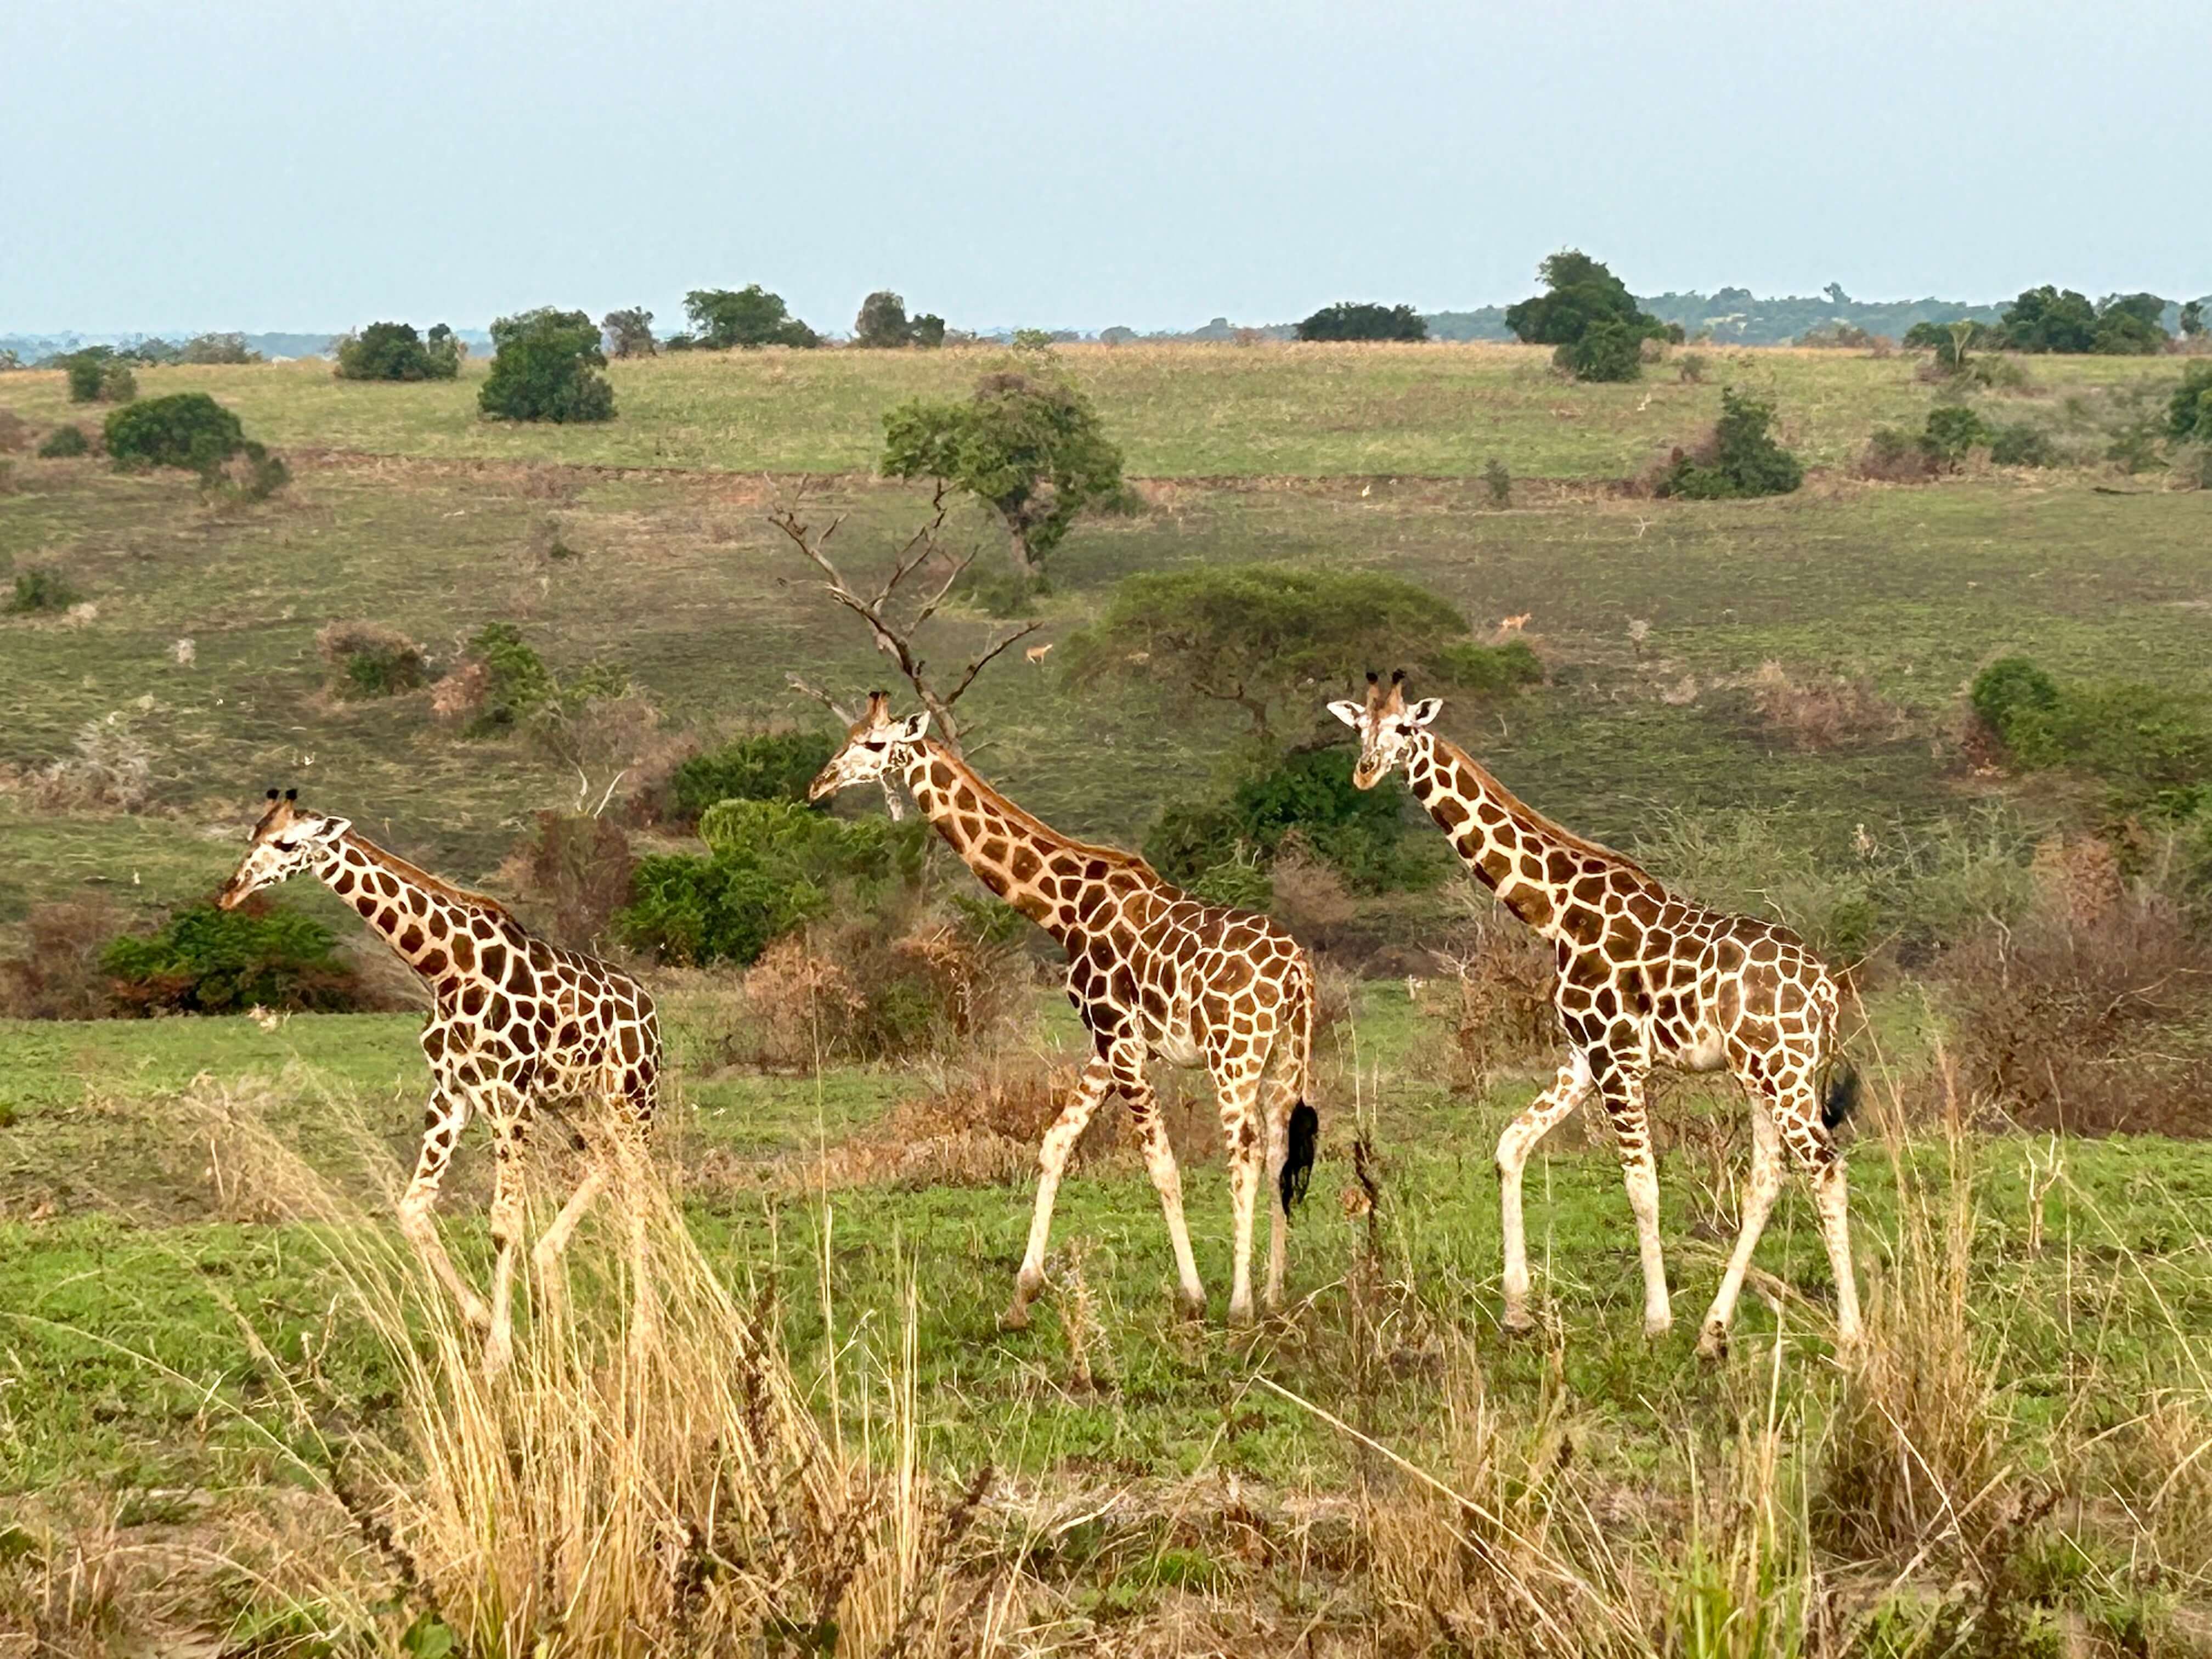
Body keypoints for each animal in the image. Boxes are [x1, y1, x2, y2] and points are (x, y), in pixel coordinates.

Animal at [219, 792, 659, 1380]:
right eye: (253, 835)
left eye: (287, 844)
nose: (230, 892)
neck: (447, 972)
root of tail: (650, 1005)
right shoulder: (453, 1094)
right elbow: (413, 1209)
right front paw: (480, 1319)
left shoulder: (507, 1095)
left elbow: (504, 1222)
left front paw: (497, 1353)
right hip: (569, 1101)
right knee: (605, 1163)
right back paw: (554, 1287)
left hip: (632, 1095)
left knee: (640, 1190)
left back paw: (642, 1336)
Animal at [818, 695, 1318, 1336]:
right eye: (849, 735)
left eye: (874, 745)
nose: (820, 783)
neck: (1064, 909)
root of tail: (1297, 973)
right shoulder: (1107, 1048)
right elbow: (1056, 1143)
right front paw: (1021, 1296)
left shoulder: (1120, 1040)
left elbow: (1161, 1164)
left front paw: (1193, 1297)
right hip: (1286, 1054)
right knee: (1280, 1149)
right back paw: (1276, 1295)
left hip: (1234, 1054)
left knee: (1246, 1155)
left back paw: (1241, 1305)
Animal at [1336, 668, 1858, 1353]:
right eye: (1359, 729)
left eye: (1404, 727)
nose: (1366, 772)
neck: (1556, 910)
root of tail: (1826, 990)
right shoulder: (1583, 1056)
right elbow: (1510, 1146)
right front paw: (1517, 1310)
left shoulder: (1617, 1057)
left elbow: (1641, 1185)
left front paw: (1656, 1320)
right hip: (1763, 1074)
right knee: (1769, 1179)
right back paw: (1714, 1332)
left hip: (1783, 1070)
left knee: (1825, 1166)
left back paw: (1850, 1335)